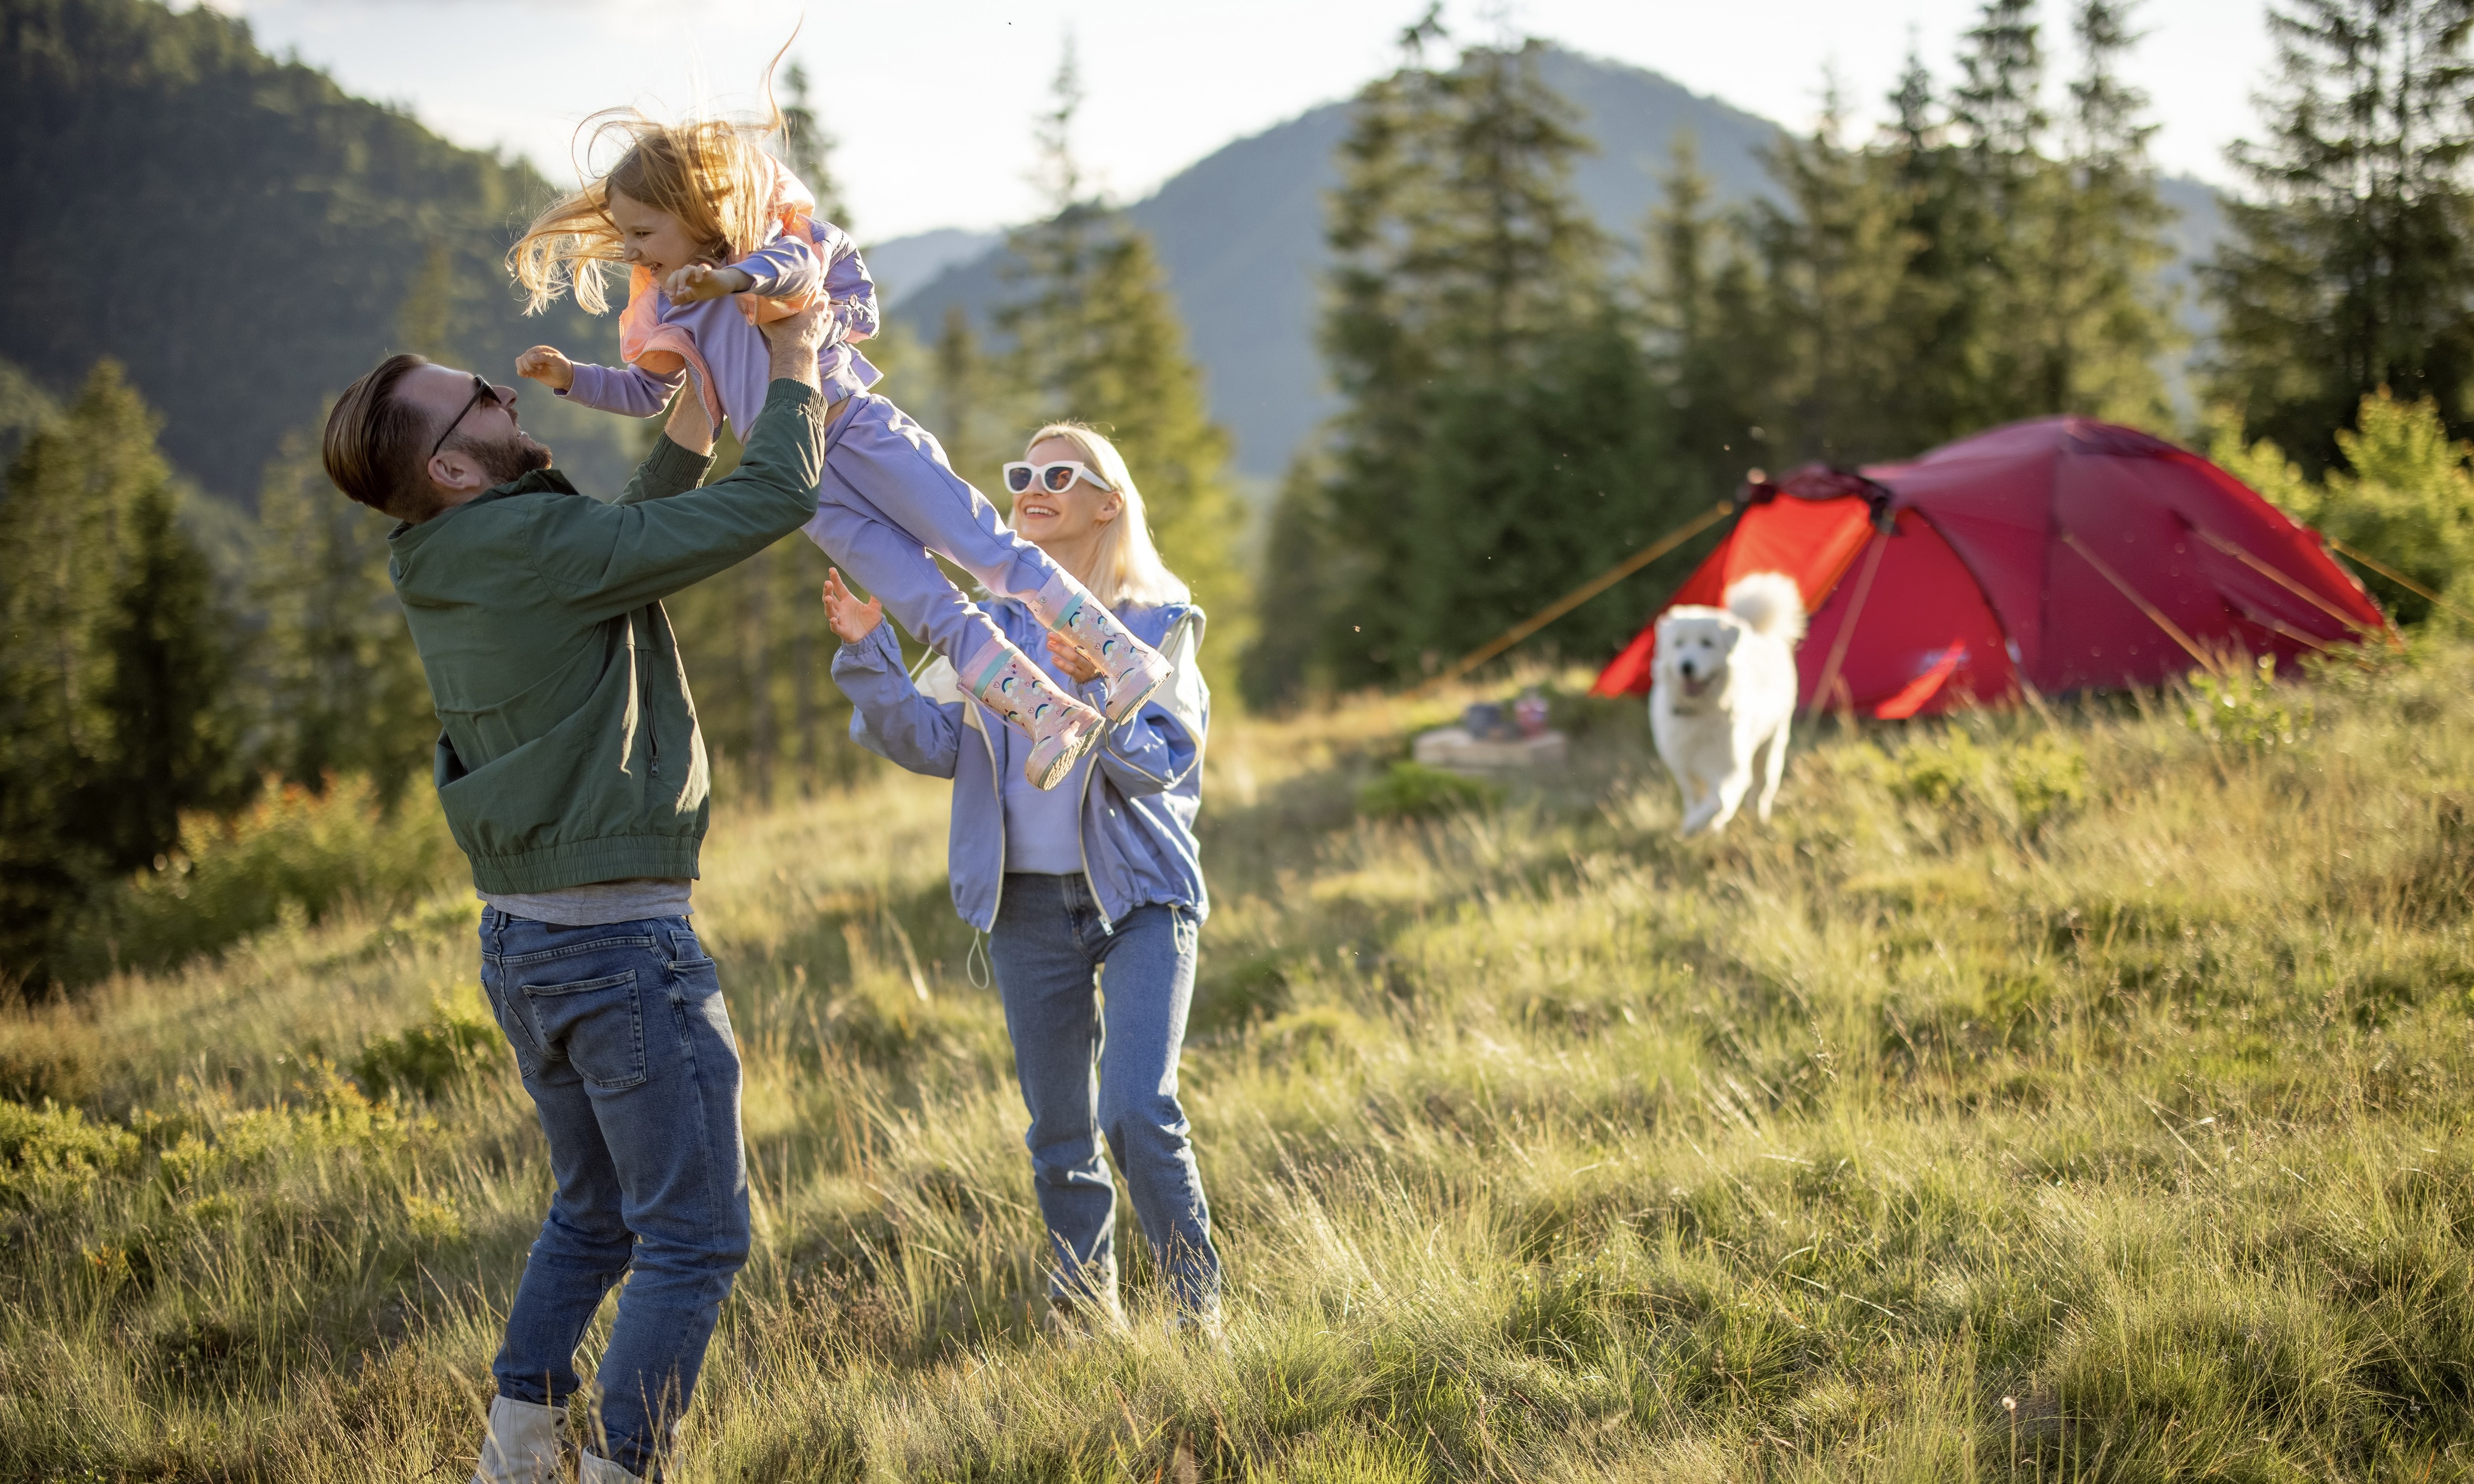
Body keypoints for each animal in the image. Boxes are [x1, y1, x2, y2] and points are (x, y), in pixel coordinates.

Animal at [1653, 574, 1811, 841]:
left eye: (1707, 644)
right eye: (1679, 644)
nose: (1687, 667)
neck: (1700, 715)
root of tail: (1753, 628)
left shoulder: (1731, 769)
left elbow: (1719, 802)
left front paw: (1697, 827)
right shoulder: (1685, 768)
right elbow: (1697, 801)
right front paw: (1697, 828)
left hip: (1770, 750)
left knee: (1761, 793)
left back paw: (1760, 822)